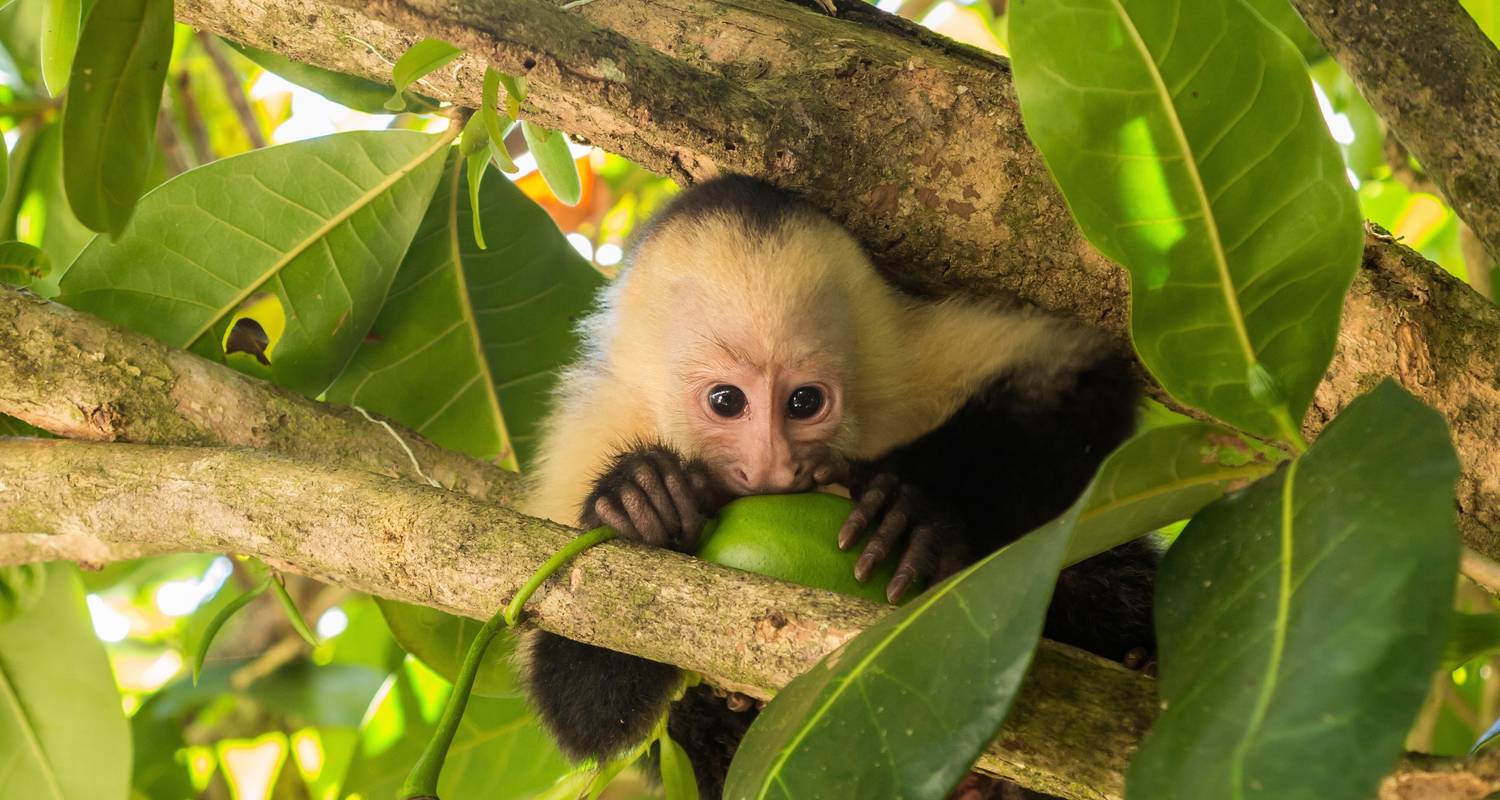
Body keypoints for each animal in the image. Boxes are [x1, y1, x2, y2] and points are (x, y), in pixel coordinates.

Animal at [522, 176, 1152, 798]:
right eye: (726, 401)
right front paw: (639, 499)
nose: (774, 470)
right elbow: (583, 708)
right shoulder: (594, 430)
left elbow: (1080, 376)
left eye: (804, 402)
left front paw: (907, 508)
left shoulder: (903, 361)